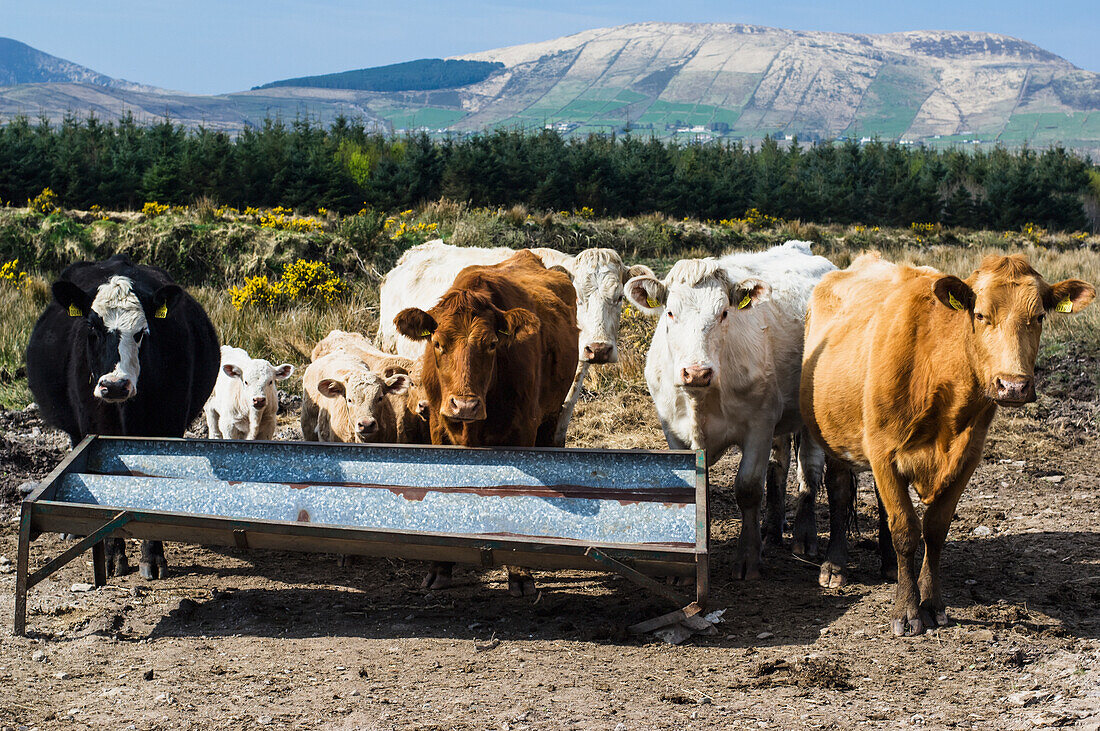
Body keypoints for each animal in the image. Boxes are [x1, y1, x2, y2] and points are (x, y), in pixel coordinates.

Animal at [26, 253, 218, 580]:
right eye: (92, 328)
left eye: (141, 333)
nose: (115, 385)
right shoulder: (95, 432)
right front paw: (113, 556)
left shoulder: (166, 428)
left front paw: (153, 557)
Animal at [398, 249, 585, 593]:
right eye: (437, 343)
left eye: (493, 344)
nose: (465, 405)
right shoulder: (438, 429)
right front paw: (440, 568)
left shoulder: (523, 431)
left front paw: (521, 573)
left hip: (551, 415)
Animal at [629, 241, 831, 580]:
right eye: (670, 312)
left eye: (724, 313)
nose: (696, 372)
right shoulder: (673, 430)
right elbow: (697, 491)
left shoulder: (759, 425)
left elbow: (748, 488)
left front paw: (748, 558)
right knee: (779, 465)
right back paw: (772, 529)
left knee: (809, 470)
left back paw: (804, 537)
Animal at [800, 253, 1091, 637]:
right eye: (980, 314)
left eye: (1040, 316)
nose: (1013, 386)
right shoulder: (882, 451)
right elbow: (905, 529)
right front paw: (907, 611)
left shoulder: (967, 457)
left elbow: (934, 530)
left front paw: (932, 604)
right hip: (832, 436)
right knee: (838, 492)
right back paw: (835, 566)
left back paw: (889, 565)